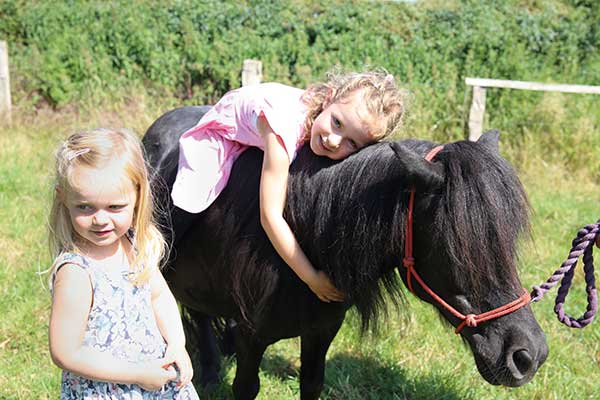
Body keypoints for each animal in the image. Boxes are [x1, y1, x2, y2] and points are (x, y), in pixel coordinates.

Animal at [142, 106, 548, 400]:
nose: (528, 355)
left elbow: (311, 384)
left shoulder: (321, 333)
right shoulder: (251, 338)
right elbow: (246, 386)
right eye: (456, 246)